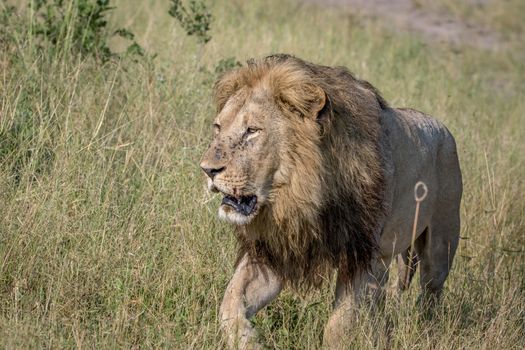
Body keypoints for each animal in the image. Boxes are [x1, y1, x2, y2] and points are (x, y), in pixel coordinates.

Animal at [199, 53, 460, 348]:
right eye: (218, 127)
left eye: (252, 131)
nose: (207, 169)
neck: (301, 197)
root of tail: (441, 126)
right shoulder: (275, 251)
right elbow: (231, 301)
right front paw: (249, 341)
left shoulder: (361, 257)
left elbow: (339, 326)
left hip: (440, 244)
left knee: (430, 292)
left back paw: (426, 331)